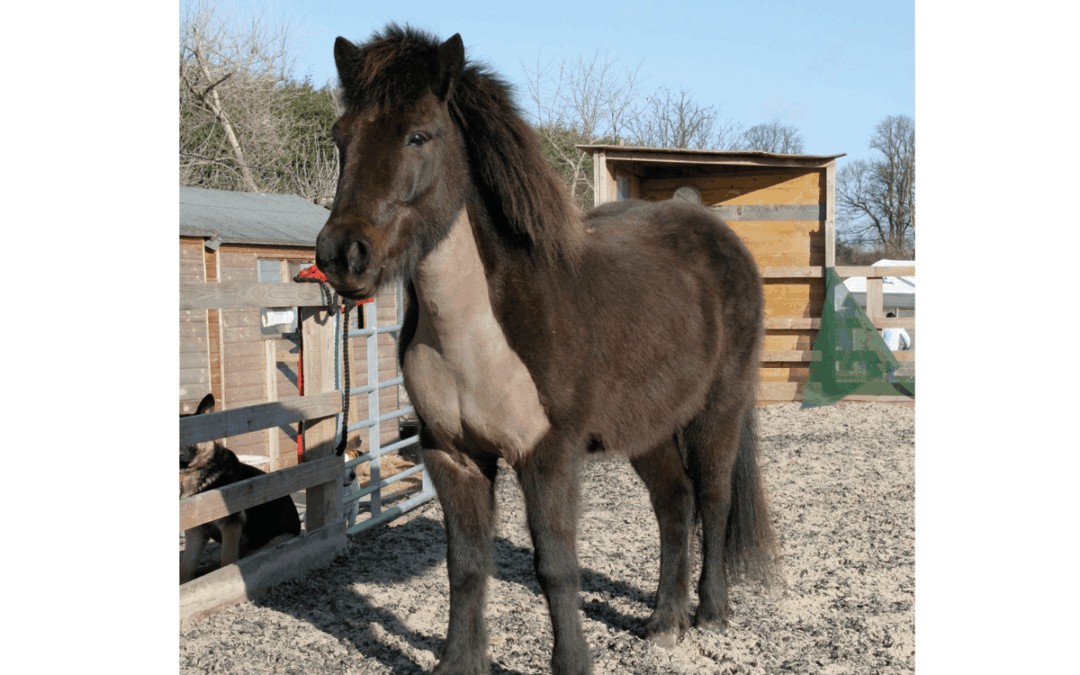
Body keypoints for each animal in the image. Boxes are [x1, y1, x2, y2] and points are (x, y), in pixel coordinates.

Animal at [315, 24, 779, 675]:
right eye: (341, 138)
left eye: (418, 135)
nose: (342, 256)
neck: (478, 332)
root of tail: (713, 230)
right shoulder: (453, 456)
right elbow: (466, 568)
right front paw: (459, 662)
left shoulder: (547, 456)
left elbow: (555, 568)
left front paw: (573, 662)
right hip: (647, 428)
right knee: (674, 503)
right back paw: (665, 621)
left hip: (719, 410)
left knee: (712, 500)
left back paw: (711, 611)